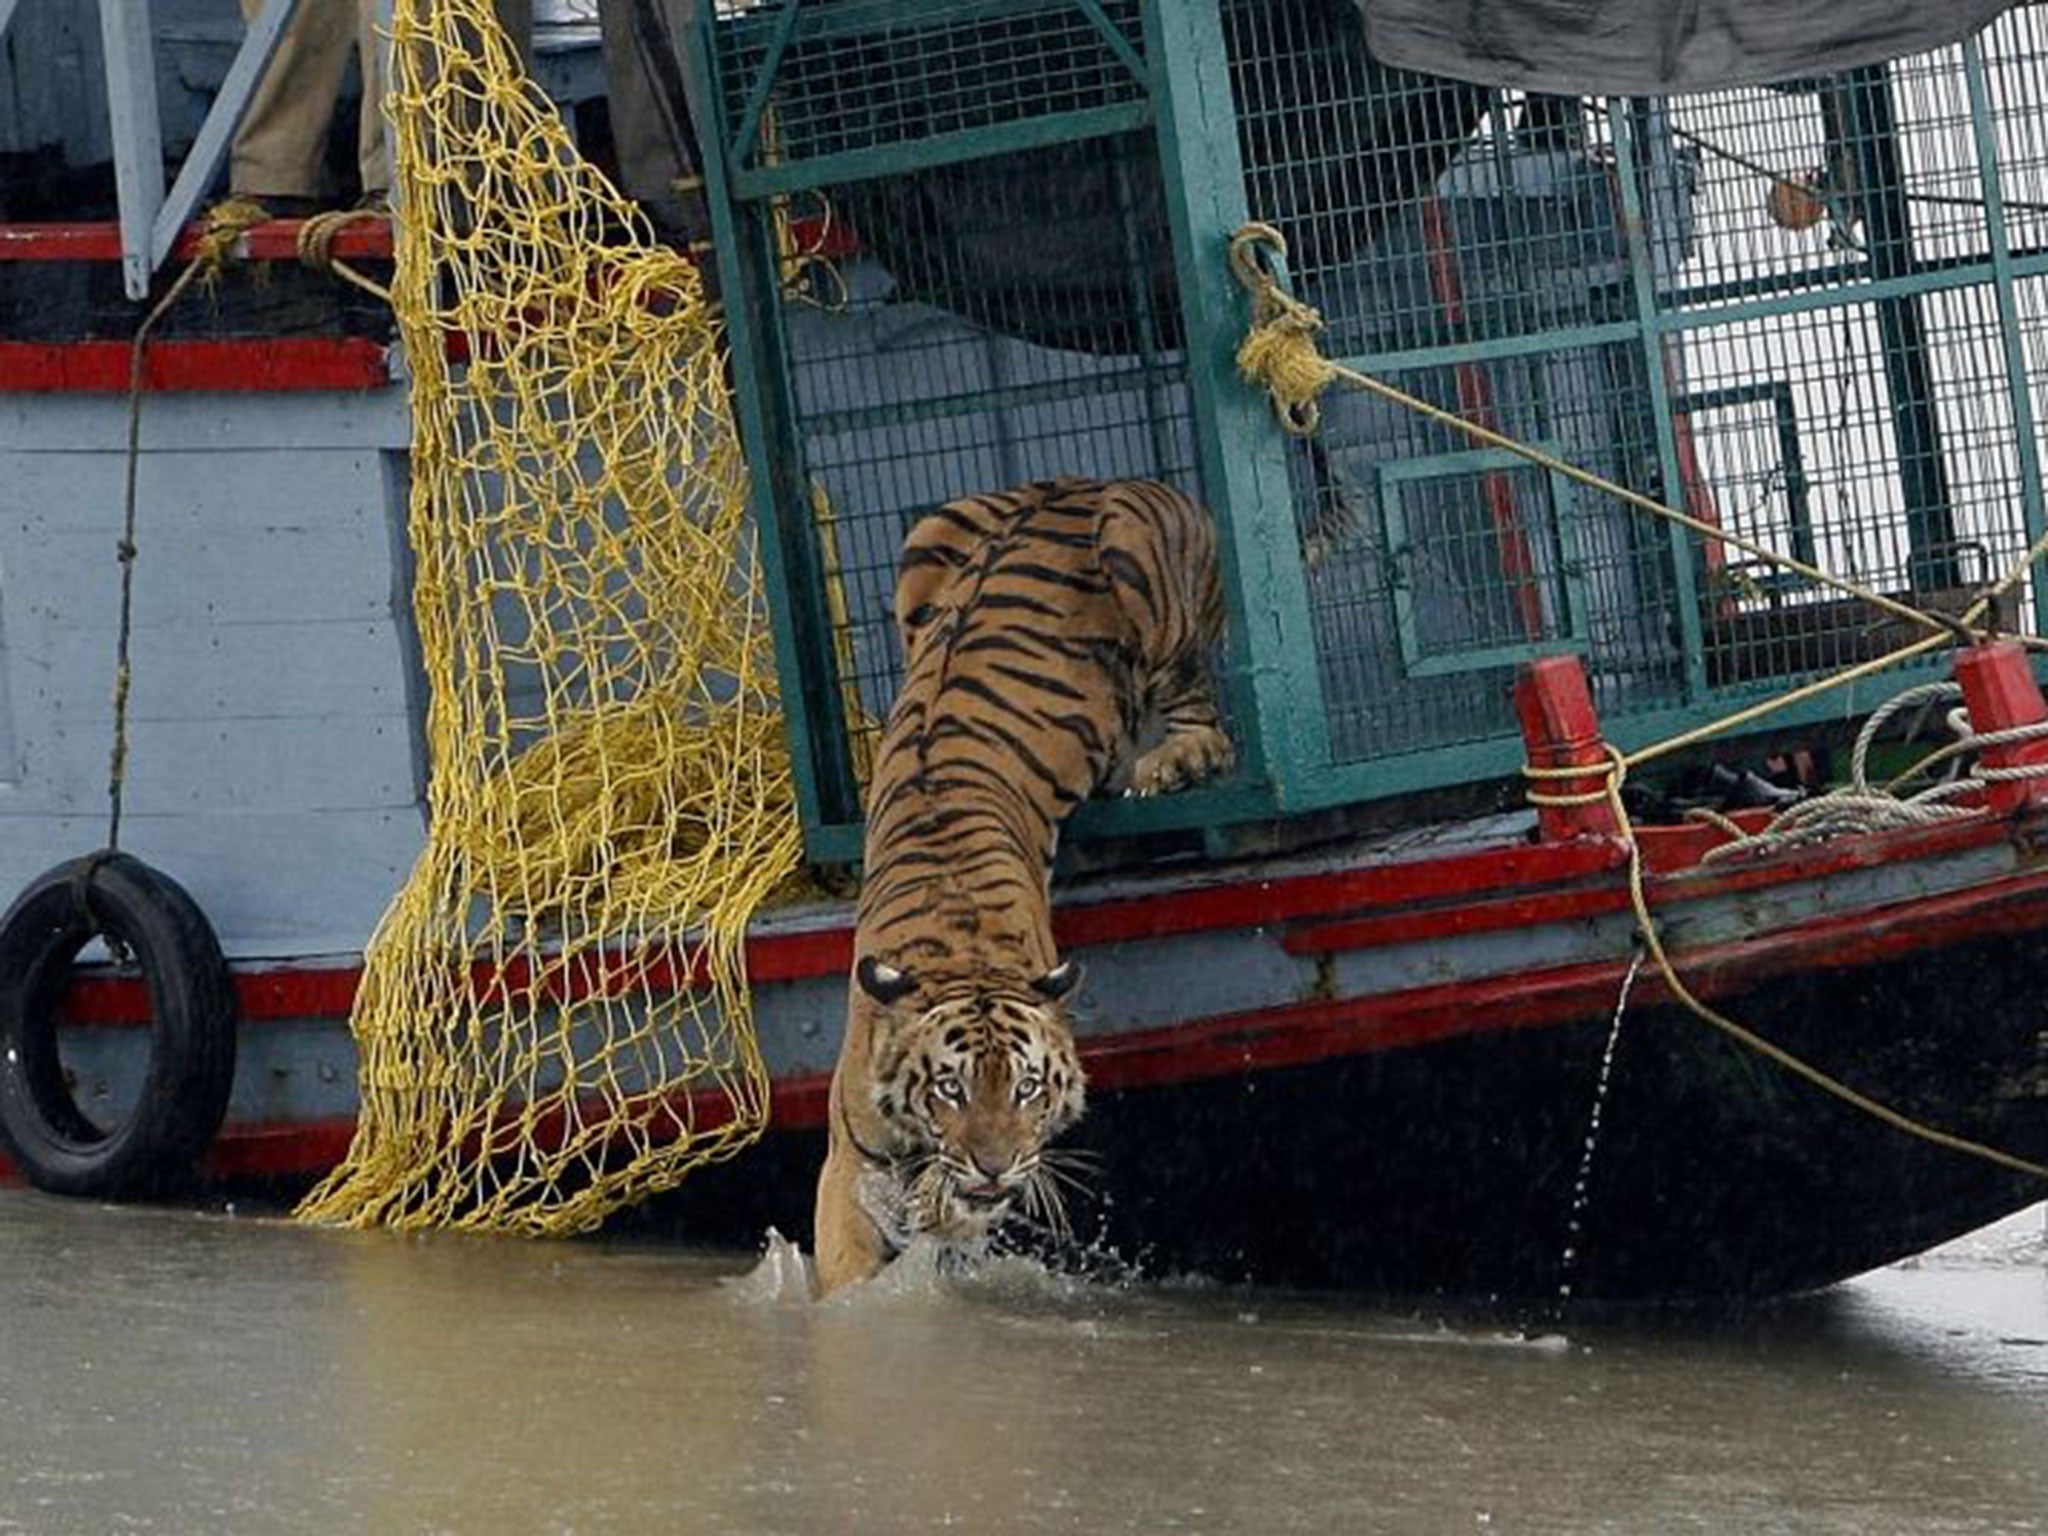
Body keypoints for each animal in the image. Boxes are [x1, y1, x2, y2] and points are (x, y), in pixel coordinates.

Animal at [811, 475, 1228, 1294]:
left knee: (1208, 723)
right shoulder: (848, 1160)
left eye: (1027, 1088)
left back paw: (1171, 763)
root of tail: (1081, 481)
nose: (994, 1167)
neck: (959, 954)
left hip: (1133, 555)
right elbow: (844, 1271)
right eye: (950, 1088)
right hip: (924, 544)